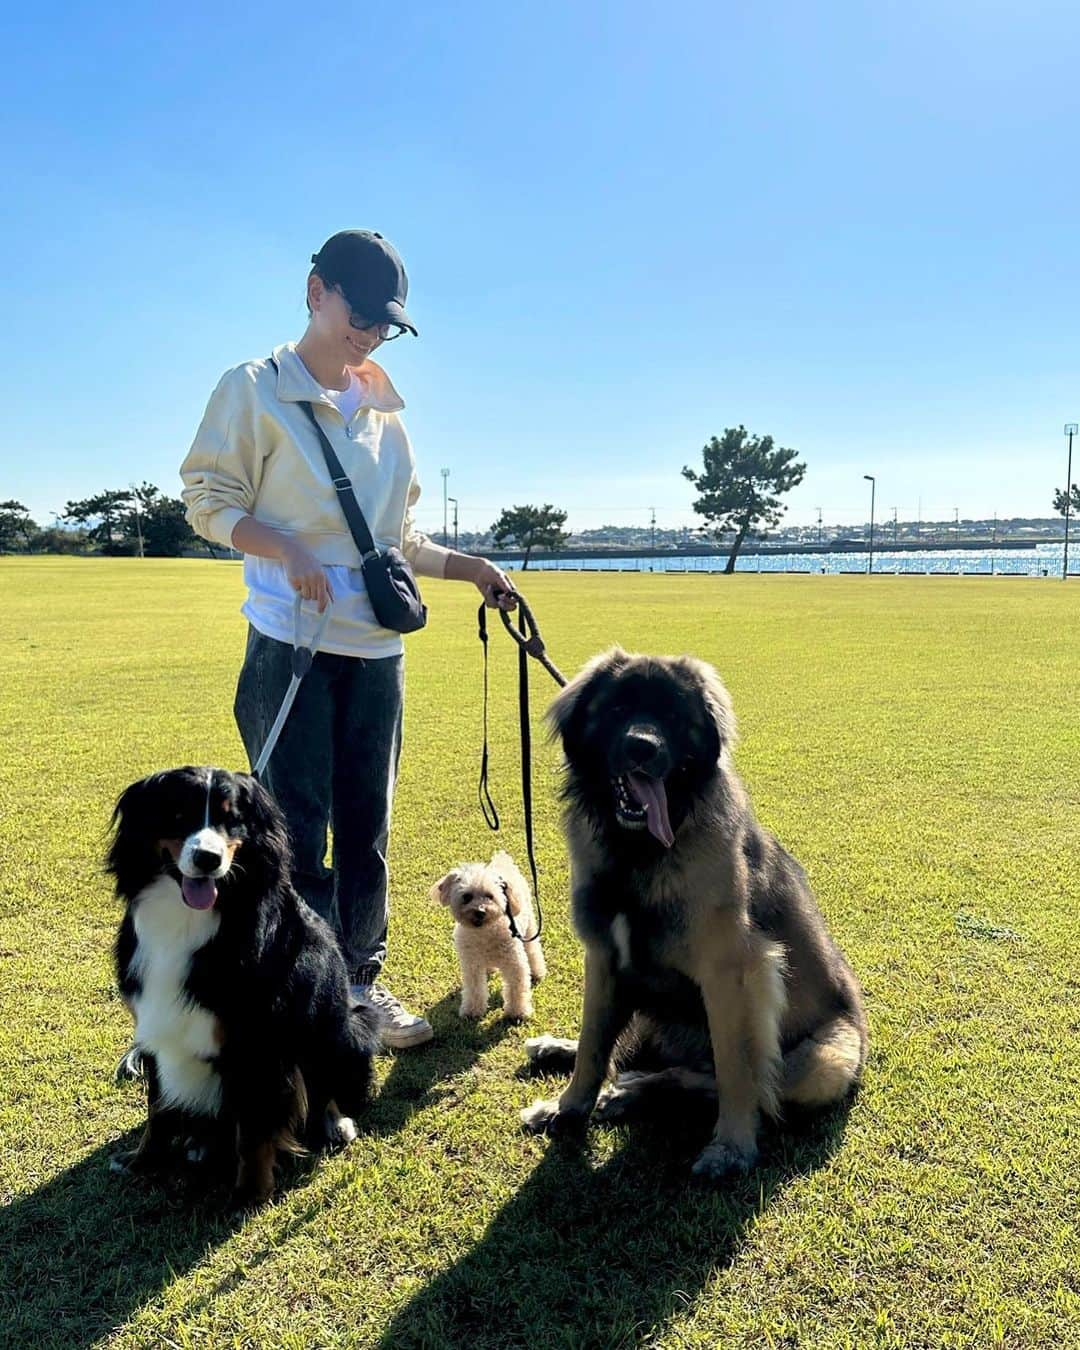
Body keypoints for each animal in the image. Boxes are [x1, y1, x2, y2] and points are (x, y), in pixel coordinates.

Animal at [109, 766, 380, 1209]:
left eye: (231, 818)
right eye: (179, 813)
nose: (208, 858)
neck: (187, 920)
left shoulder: (258, 1043)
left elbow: (253, 1131)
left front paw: (248, 1195)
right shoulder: (155, 1025)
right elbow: (158, 1109)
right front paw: (144, 1162)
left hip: (343, 1028)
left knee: (324, 1087)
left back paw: (334, 1124)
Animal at [523, 648, 869, 1177]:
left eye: (672, 715)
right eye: (618, 708)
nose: (642, 748)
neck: (640, 852)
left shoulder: (734, 974)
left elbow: (735, 1071)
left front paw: (731, 1146)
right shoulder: (606, 959)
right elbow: (594, 1044)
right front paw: (568, 1107)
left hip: (825, 1064)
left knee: (715, 1078)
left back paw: (630, 1091)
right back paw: (577, 1061)